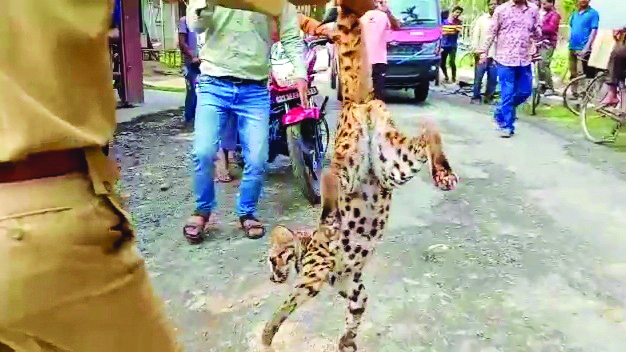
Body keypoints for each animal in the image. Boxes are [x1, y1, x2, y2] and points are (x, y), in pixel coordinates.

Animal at [260, 4, 456, 350]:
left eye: (272, 260)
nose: (272, 277)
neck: (305, 245)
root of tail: (355, 99)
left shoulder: (312, 277)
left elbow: (287, 304)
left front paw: (267, 332)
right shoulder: (351, 284)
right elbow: (356, 311)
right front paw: (347, 340)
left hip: (352, 162)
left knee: (329, 175)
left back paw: (329, 208)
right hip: (393, 160)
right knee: (429, 130)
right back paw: (443, 171)